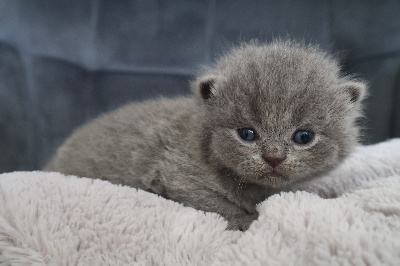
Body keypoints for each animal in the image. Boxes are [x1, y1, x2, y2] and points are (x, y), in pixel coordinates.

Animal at [45, 41, 368, 231]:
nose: (273, 157)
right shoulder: (177, 174)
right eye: (247, 134)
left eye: (303, 136)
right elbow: (221, 206)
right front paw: (251, 220)